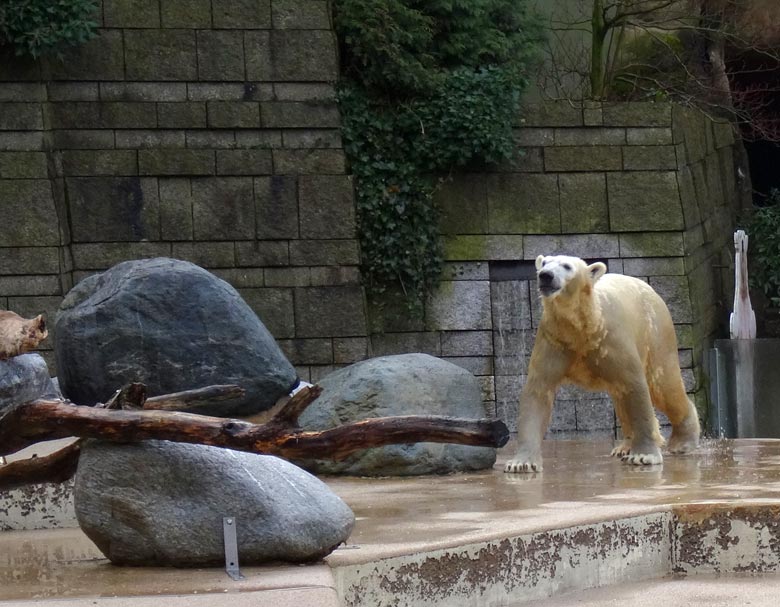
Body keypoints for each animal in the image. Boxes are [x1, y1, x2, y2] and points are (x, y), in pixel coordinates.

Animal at [506, 254, 700, 472]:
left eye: (567, 266)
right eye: (545, 263)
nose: (545, 275)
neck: (584, 325)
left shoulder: (611, 337)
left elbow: (634, 385)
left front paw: (643, 456)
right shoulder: (554, 339)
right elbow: (538, 390)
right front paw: (521, 463)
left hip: (656, 333)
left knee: (663, 385)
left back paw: (683, 442)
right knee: (621, 396)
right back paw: (624, 447)